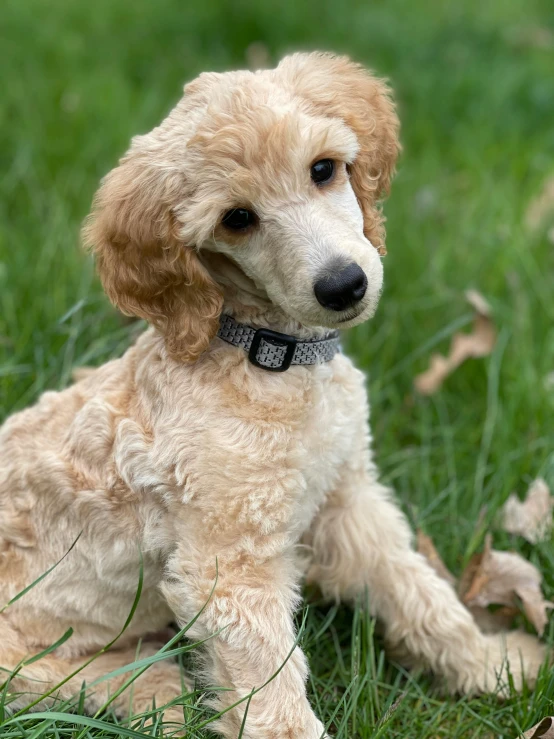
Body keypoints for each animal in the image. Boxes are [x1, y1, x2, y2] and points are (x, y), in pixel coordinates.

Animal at [0, 52, 544, 739]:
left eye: (323, 169)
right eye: (237, 219)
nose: (344, 285)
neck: (269, 356)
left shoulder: (348, 501)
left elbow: (419, 593)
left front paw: (491, 663)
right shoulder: (228, 568)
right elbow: (273, 691)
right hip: (32, 662)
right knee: (89, 684)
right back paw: (160, 695)